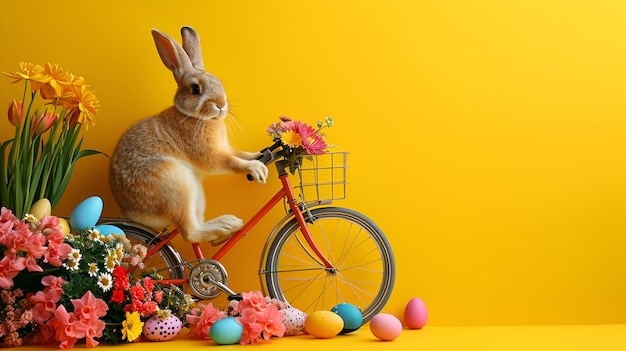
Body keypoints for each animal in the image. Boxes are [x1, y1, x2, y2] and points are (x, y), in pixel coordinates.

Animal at [109, 26, 266, 245]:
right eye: (195, 89)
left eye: (219, 81)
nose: (221, 104)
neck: (195, 116)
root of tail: (133, 214)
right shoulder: (211, 155)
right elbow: (230, 162)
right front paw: (256, 169)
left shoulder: (226, 148)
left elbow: (240, 153)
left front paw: (258, 156)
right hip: (175, 186)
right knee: (190, 232)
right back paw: (225, 225)